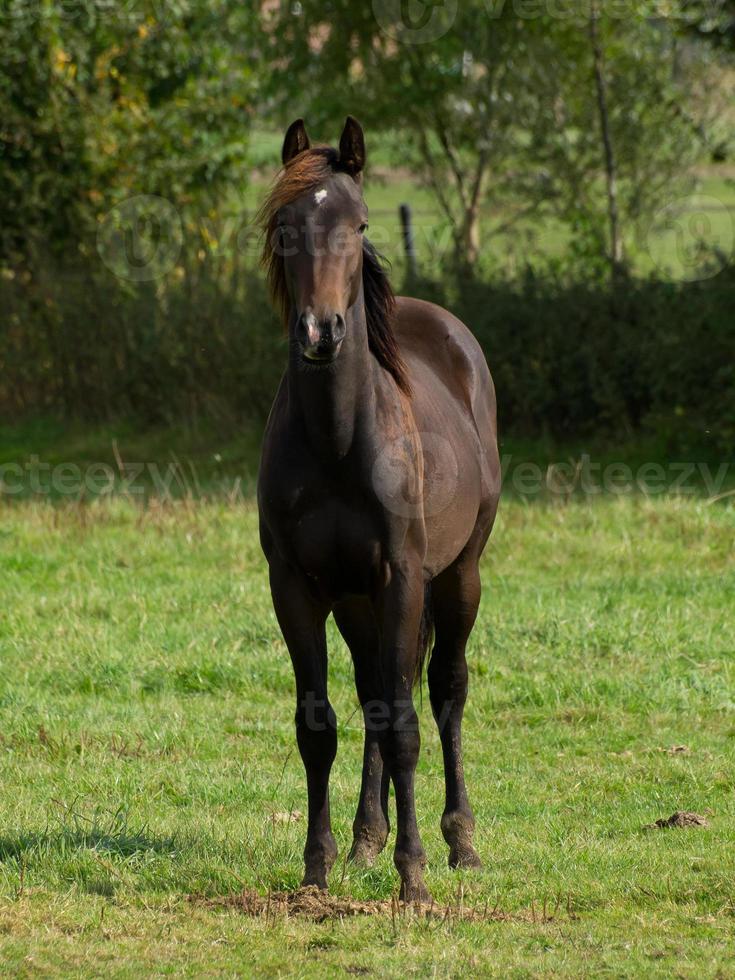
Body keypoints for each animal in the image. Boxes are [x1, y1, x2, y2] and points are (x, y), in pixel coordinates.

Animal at [256, 118, 504, 900]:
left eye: (358, 222)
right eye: (286, 226)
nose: (321, 332)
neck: (338, 441)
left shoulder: (401, 579)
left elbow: (405, 726)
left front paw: (414, 875)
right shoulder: (298, 586)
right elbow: (321, 723)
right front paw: (317, 867)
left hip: (456, 577)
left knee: (444, 691)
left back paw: (461, 842)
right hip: (356, 600)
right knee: (371, 695)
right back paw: (367, 839)